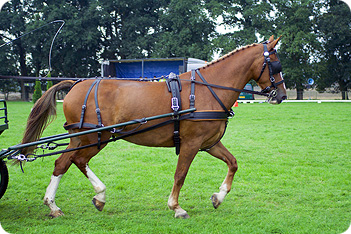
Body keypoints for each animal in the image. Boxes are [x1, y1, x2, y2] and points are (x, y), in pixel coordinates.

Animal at [20, 35, 288, 218]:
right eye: (276, 65)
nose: (282, 95)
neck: (206, 90)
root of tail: (76, 84)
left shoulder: (209, 143)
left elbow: (233, 163)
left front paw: (218, 197)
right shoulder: (191, 144)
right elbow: (180, 174)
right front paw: (176, 207)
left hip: (80, 137)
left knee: (62, 163)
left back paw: (56, 204)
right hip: (96, 138)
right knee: (77, 160)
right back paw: (98, 195)